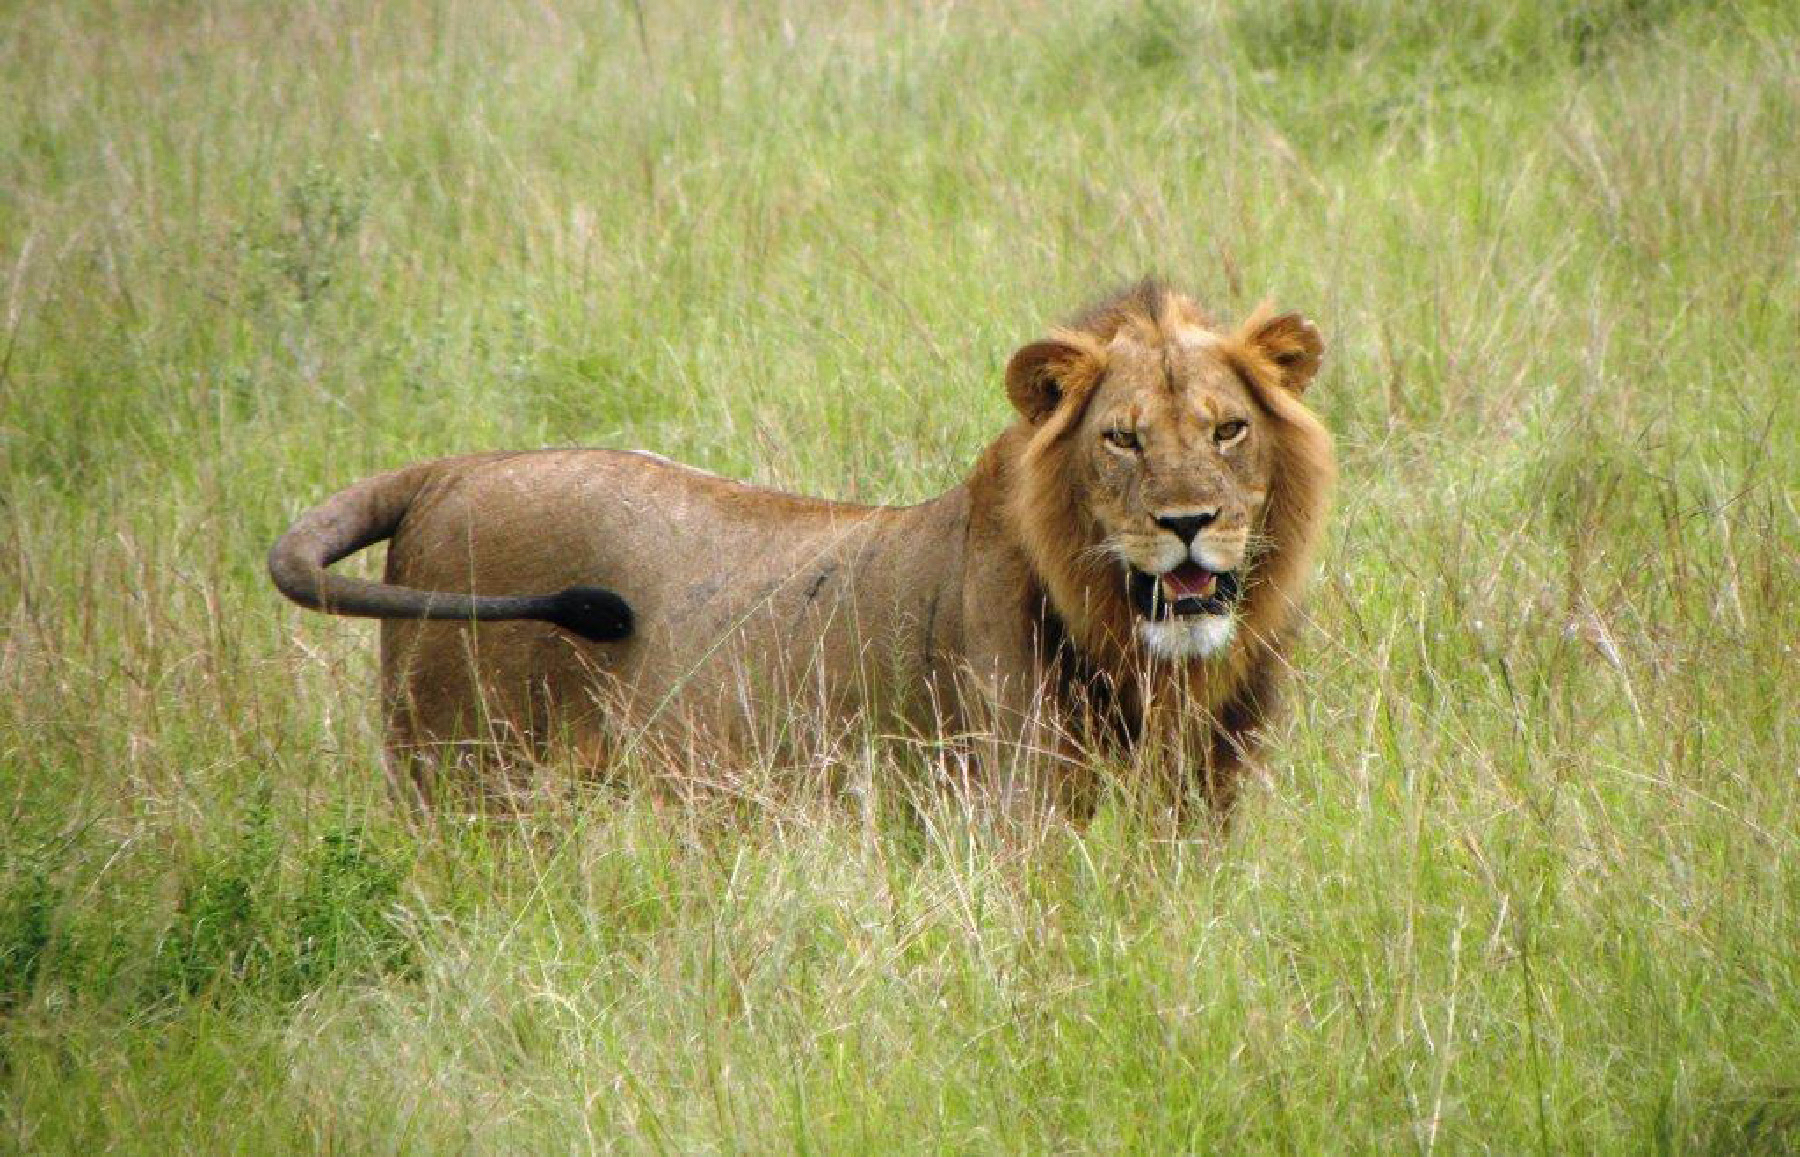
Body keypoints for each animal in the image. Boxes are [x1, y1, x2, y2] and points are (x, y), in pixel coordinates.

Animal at [269, 281, 1334, 811]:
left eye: (1228, 430)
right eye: (1122, 438)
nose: (1189, 523)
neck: (1148, 662)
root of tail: (451, 470)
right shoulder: (1009, 813)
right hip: (462, 783)